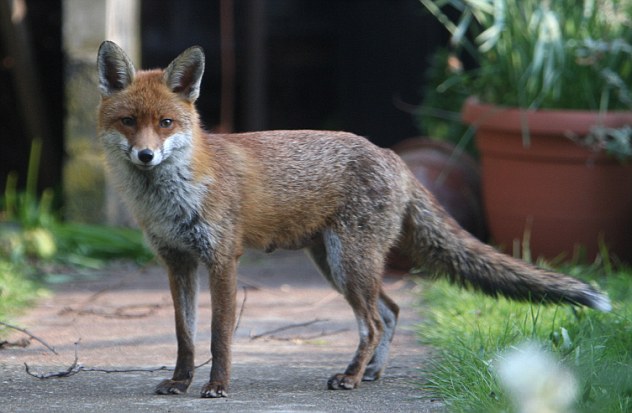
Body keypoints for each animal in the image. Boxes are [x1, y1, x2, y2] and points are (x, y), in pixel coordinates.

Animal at [97, 40, 612, 398]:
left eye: (166, 123)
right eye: (129, 122)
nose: (145, 156)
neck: (170, 197)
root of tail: (391, 154)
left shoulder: (223, 259)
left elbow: (219, 335)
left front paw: (217, 387)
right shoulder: (177, 262)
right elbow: (185, 335)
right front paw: (179, 383)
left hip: (349, 263)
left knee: (375, 322)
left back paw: (350, 377)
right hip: (337, 264)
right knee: (391, 311)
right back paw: (371, 372)